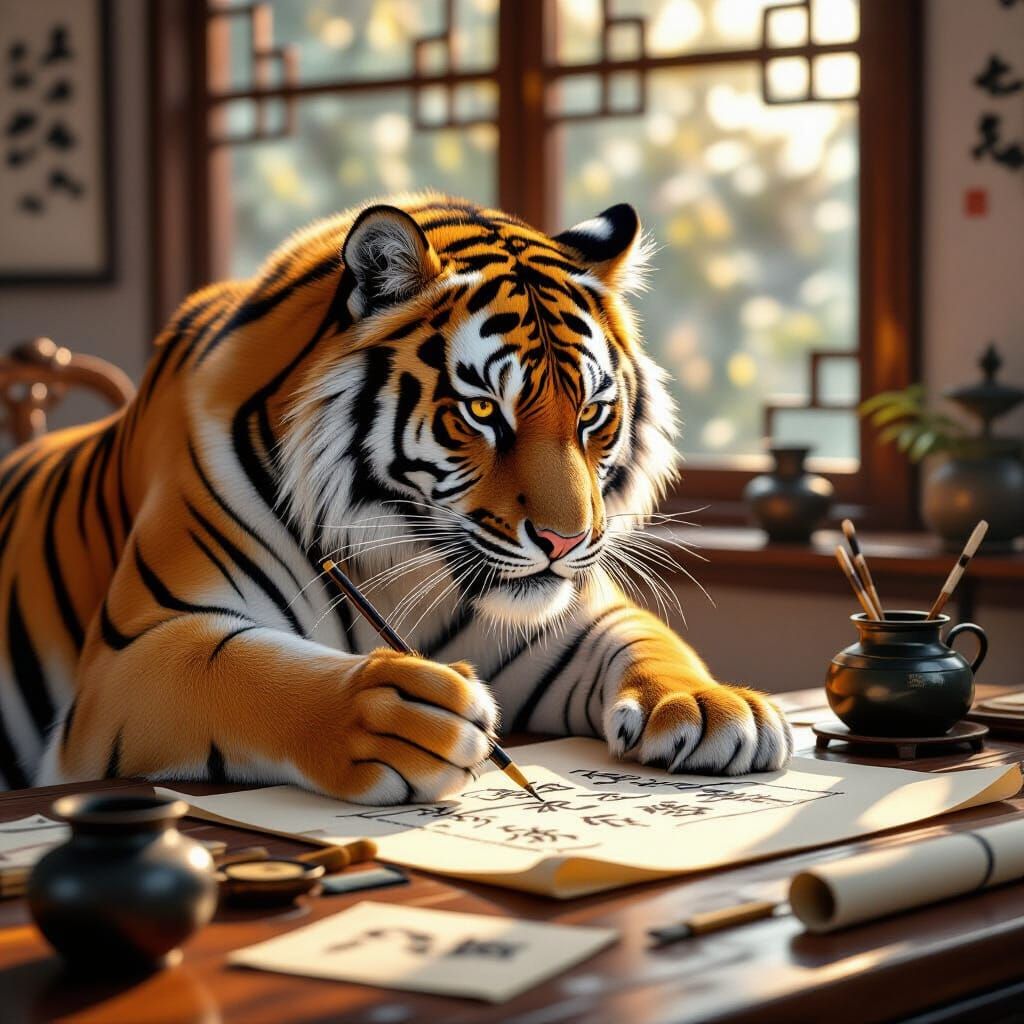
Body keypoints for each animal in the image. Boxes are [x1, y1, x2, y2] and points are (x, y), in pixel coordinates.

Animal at [0, 193, 791, 801]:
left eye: (593, 414)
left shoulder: (563, 625)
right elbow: (245, 671)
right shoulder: (137, 650)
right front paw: (389, 715)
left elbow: (643, 638)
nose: (565, 542)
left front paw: (710, 706)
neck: (396, 559)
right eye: (483, 412)